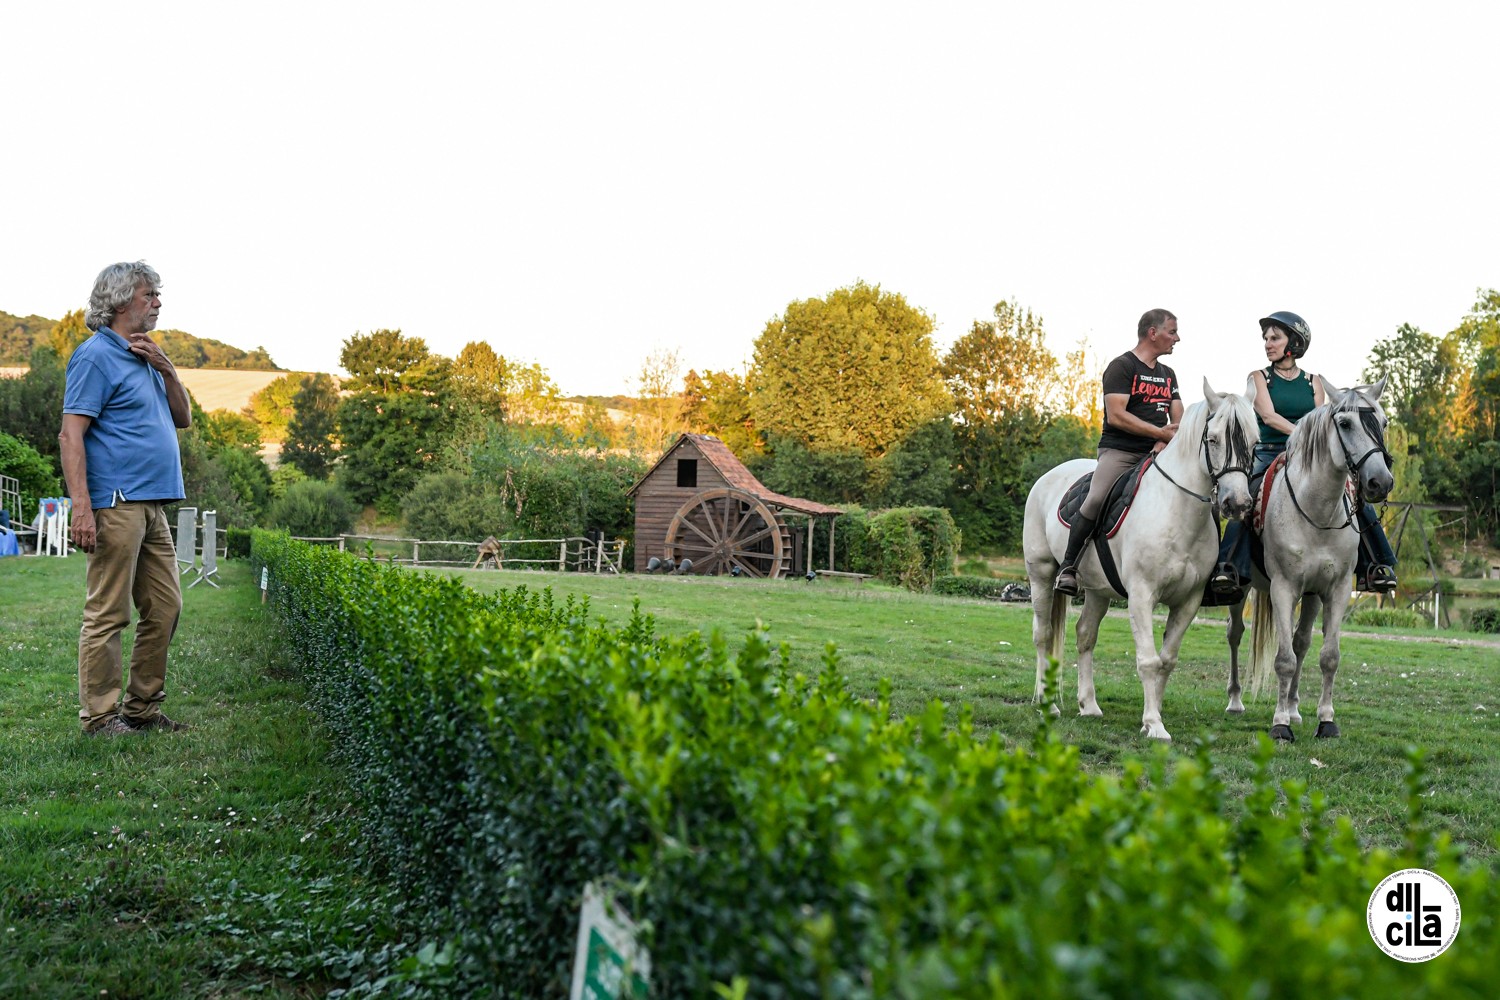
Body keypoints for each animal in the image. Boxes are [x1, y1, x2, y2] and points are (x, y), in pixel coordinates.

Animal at [1026, 379, 1260, 740]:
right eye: (1213, 439)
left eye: (1254, 441)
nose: (1237, 503)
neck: (1176, 509)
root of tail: (1047, 477)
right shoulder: (1141, 595)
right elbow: (1149, 660)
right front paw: (1153, 724)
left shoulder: (1189, 601)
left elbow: (1168, 660)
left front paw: (1153, 715)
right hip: (1040, 573)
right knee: (1043, 634)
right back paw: (1046, 703)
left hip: (1097, 590)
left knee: (1084, 635)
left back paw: (1088, 705)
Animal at [1230, 379, 1392, 740]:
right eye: (1345, 423)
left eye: (1384, 422)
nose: (1380, 481)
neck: (1317, 512)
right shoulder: (1283, 588)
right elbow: (1283, 660)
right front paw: (1280, 725)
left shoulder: (1337, 589)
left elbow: (1328, 656)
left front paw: (1325, 720)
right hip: (1241, 590)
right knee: (1235, 634)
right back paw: (1235, 701)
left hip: (1313, 595)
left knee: (1301, 642)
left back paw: (1294, 707)